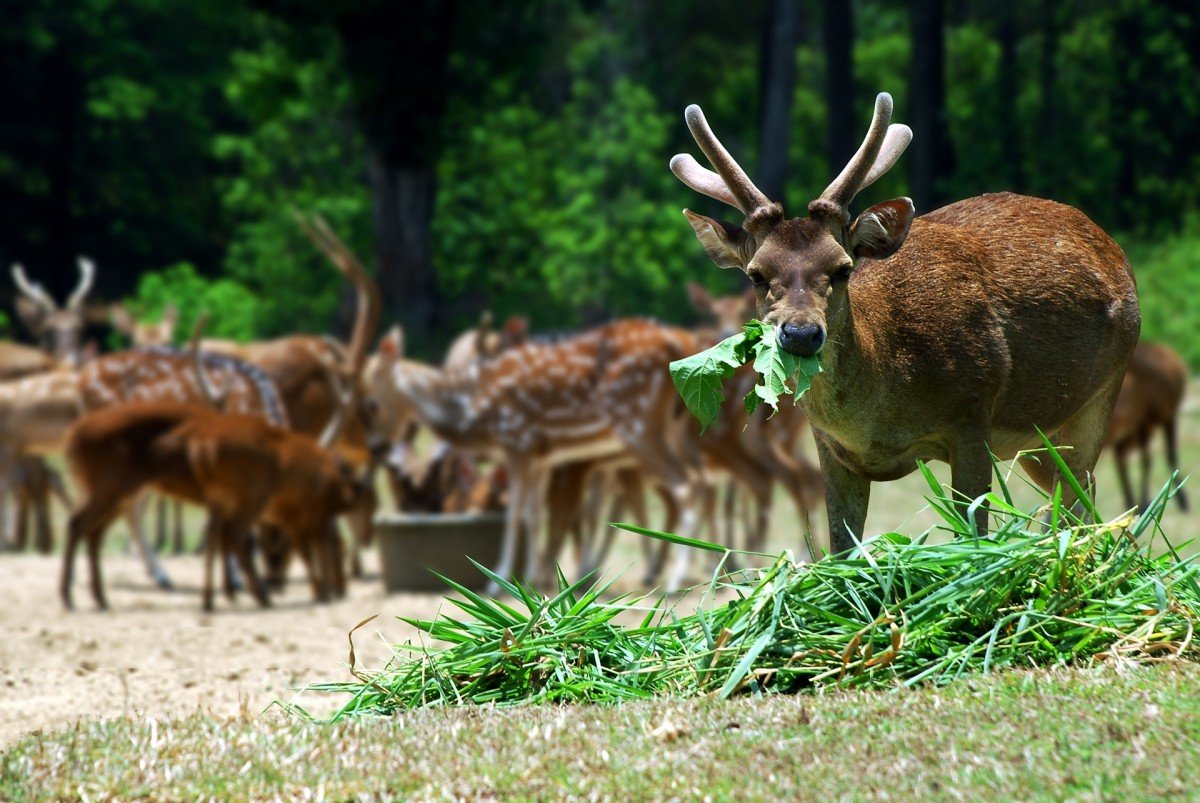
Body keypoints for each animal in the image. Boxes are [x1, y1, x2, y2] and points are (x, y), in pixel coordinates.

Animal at [672, 90, 1137, 547]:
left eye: (843, 268)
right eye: (756, 275)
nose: (801, 333)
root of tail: (1112, 247)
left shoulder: (974, 411)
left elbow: (973, 534)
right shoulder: (828, 445)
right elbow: (842, 548)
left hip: (1105, 389)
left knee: (1079, 495)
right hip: (1039, 438)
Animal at [1104, 340, 1190, 511]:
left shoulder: (1167, 415)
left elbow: (1168, 456)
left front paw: (1182, 500)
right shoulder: (1142, 421)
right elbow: (1147, 461)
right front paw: (1145, 503)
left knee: (1120, 454)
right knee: (1120, 455)